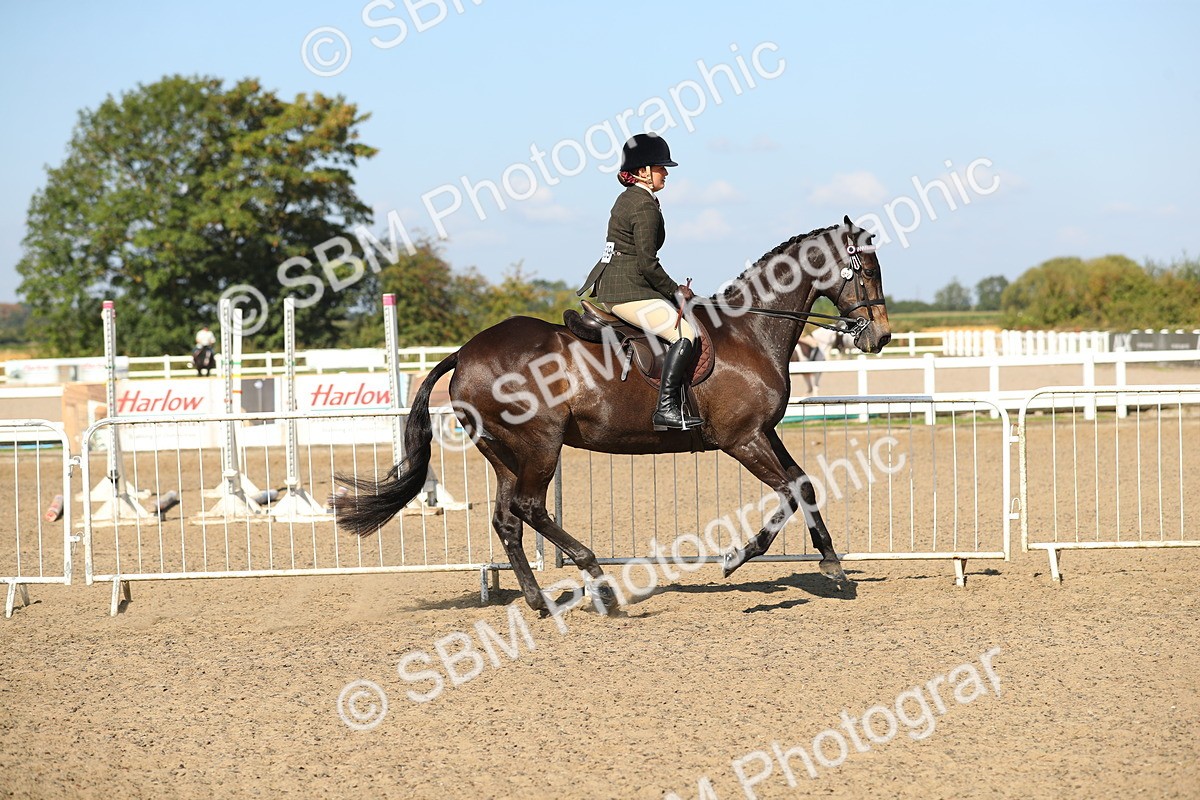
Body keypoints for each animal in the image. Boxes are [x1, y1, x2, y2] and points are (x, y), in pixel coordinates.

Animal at [333, 216, 891, 615]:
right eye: (867, 270)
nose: (881, 337)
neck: (749, 331)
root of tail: (465, 352)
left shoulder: (763, 432)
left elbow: (804, 484)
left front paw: (832, 566)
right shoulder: (741, 439)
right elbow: (789, 491)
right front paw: (736, 558)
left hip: (505, 453)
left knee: (507, 519)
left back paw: (540, 601)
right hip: (540, 444)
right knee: (531, 509)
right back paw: (598, 584)